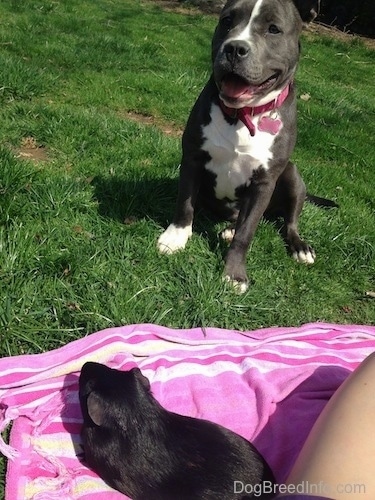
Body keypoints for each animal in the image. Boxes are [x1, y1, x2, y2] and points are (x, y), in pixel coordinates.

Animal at [157, 0, 336, 292]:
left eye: (274, 29)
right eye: (227, 21)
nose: (234, 48)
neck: (243, 115)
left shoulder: (264, 183)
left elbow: (247, 231)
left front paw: (234, 274)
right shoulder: (192, 158)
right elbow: (185, 204)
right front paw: (175, 237)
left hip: (292, 175)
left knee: (288, 222)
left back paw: (299, 246)